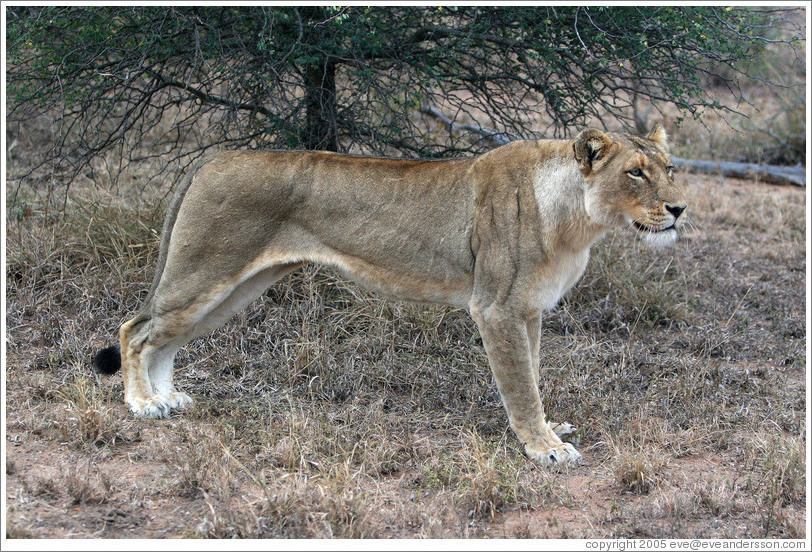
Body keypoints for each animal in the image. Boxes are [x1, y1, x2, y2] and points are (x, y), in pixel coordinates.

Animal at [92, 124, 686, 467]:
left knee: (166, 339)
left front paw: (547, 429)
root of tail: (214, 159)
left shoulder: (529, 309)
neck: (578, 220)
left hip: (236, 287)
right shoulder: (496, 308)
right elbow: (520, 385)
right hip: (205, 270)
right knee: (134, 329)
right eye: (636, 173)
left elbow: (533, 374)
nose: (680, 209)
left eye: (670, 169)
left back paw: (168, 398)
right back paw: (143, 404)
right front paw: (544, 448)